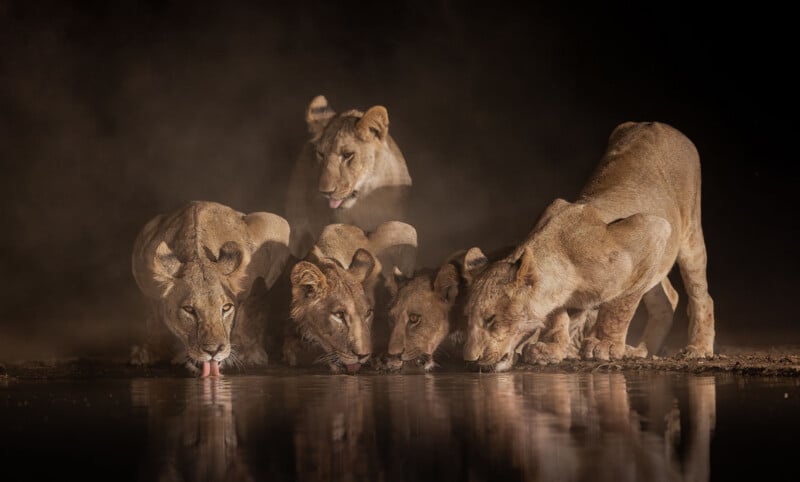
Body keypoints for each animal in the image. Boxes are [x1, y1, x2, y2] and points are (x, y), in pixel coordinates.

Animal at [131, 201, 290, 376]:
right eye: (189, 309)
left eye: (226, 307)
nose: (213, 351)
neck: (198, 255)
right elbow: (153, 316)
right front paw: (149, 352)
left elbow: (252, 307)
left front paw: (249, 354)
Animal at [463, 122, 716, 371]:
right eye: (468, 318)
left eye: (491, 319)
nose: (469, 360)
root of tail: (656, 123)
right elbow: (557, 316)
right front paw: (550, 348)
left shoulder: (653, 228)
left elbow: (619, 306)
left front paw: (604, 345)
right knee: (668, 297)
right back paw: (640, 351)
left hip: (689, 235)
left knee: (701, 295)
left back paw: (698, 349)